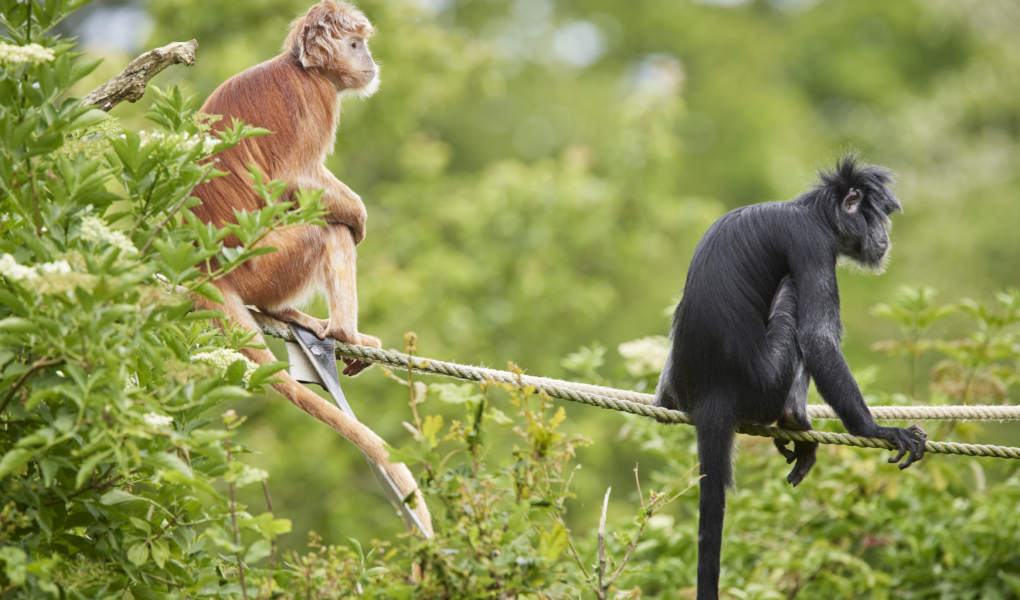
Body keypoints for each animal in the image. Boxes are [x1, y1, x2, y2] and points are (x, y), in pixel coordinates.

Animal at [191, 0, 430, 534]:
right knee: (328, 231)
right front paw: (358, 214)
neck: (300, 68)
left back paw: (292, 317)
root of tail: (206, 268)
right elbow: (293, 180)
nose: (369, 59)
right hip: (266, 264)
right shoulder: (314, 99)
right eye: (355, 44)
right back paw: (343, 331)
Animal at [656, 156, 930, 600]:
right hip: (767, 380)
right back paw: (793, 420)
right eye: (878, 218)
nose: (885, 236)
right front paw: (876, 430)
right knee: (795, 299)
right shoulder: (812, 243)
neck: (808, 211)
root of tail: (715, 391)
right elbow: (817, 338)